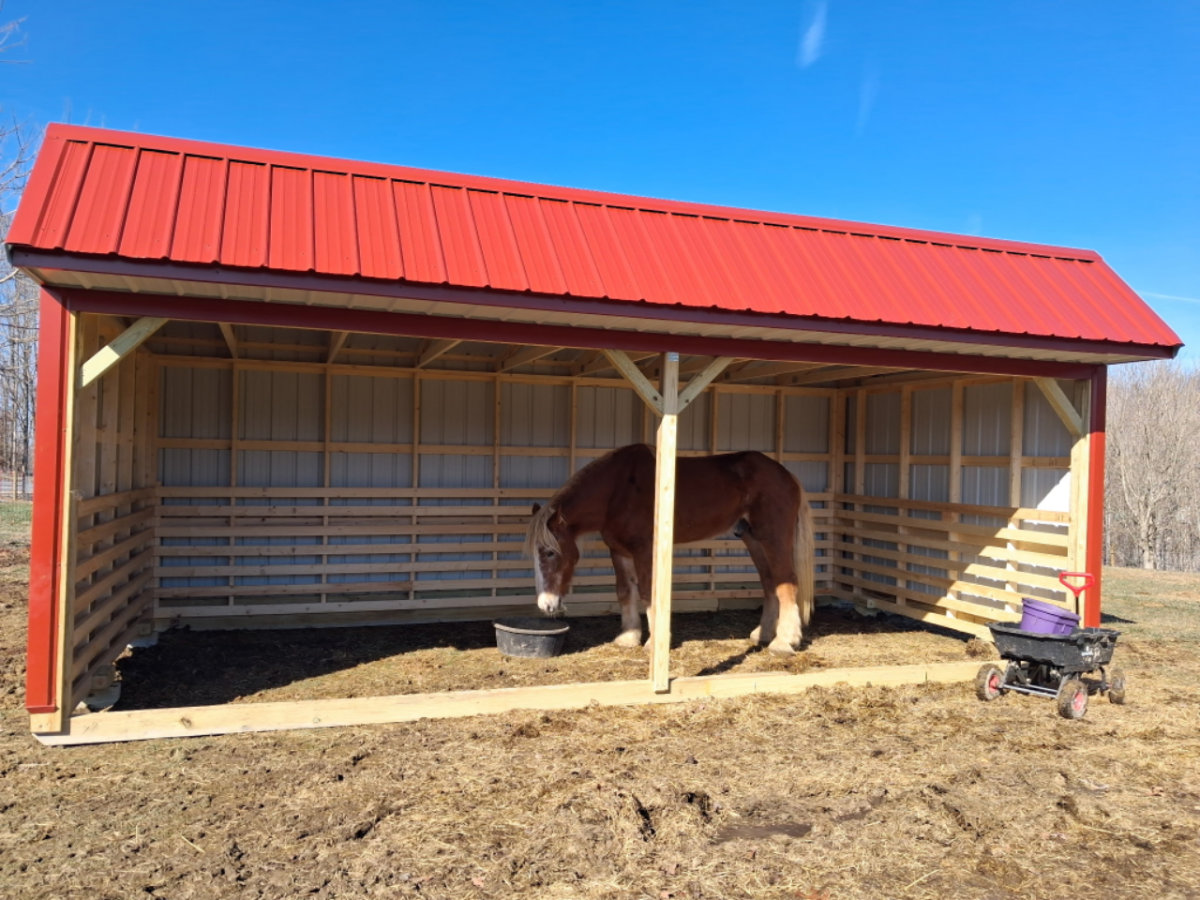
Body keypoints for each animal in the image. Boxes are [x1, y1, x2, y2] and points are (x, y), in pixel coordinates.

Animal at [525, 443, 815, 656]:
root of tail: (787, 475)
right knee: (770, 583)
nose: (545, 605)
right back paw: (763, 634)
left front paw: (654, 643)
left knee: (787, 583)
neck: (618, 490)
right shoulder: (619, 551)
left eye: (550, 552)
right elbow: (625, 592)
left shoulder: (644, 550)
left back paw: (784, 641)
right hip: (753, 539)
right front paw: (628, 637)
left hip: (773, 537)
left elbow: (647, 593)